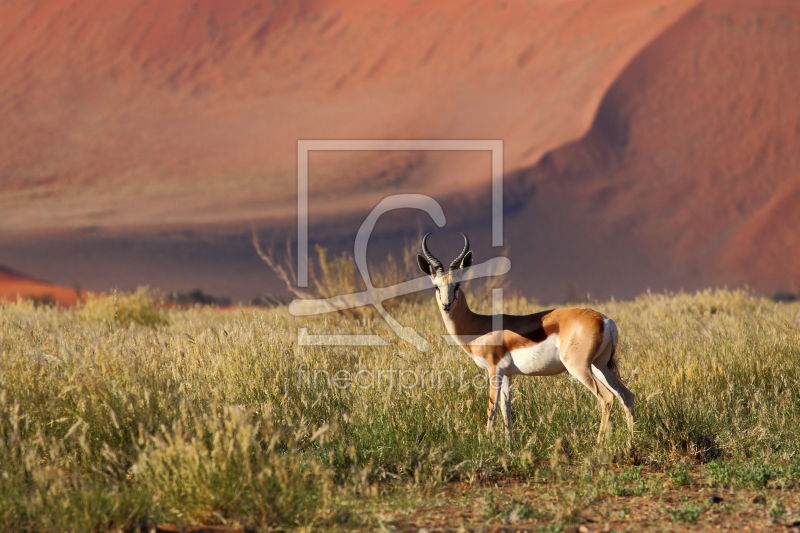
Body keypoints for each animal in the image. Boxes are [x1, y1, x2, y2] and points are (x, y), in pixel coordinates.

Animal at [416, 233, 636, 440]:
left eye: (458, 284)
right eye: (436, 286)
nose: (446, 304)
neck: (479, 327)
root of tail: (605, 320)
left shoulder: (494, 370)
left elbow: (491, 408)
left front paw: (486, 443)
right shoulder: (508, 374)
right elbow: (506, 408)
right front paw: (508, 445)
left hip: (579, 368)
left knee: (607, 398)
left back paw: (599, 444)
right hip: (600, 366)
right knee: (627, 396)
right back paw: (630, 442)